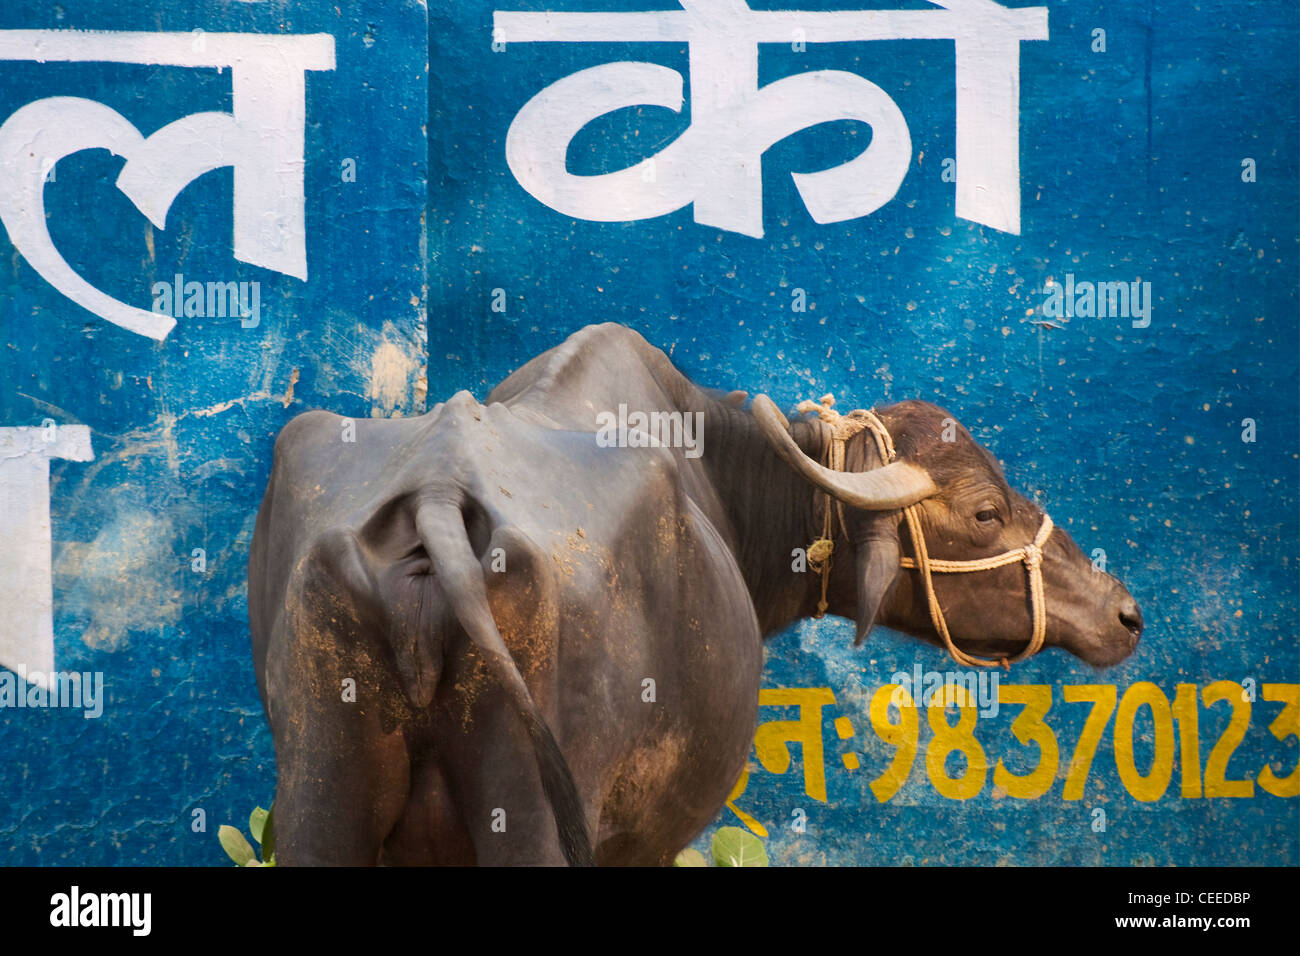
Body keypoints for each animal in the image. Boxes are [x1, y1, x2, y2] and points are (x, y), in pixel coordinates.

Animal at [248, 321, 1144, 868]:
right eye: (986, 512)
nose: (1123, 613)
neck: (717, 474)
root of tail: (438, 495)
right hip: (530, 820)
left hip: (318, 803)